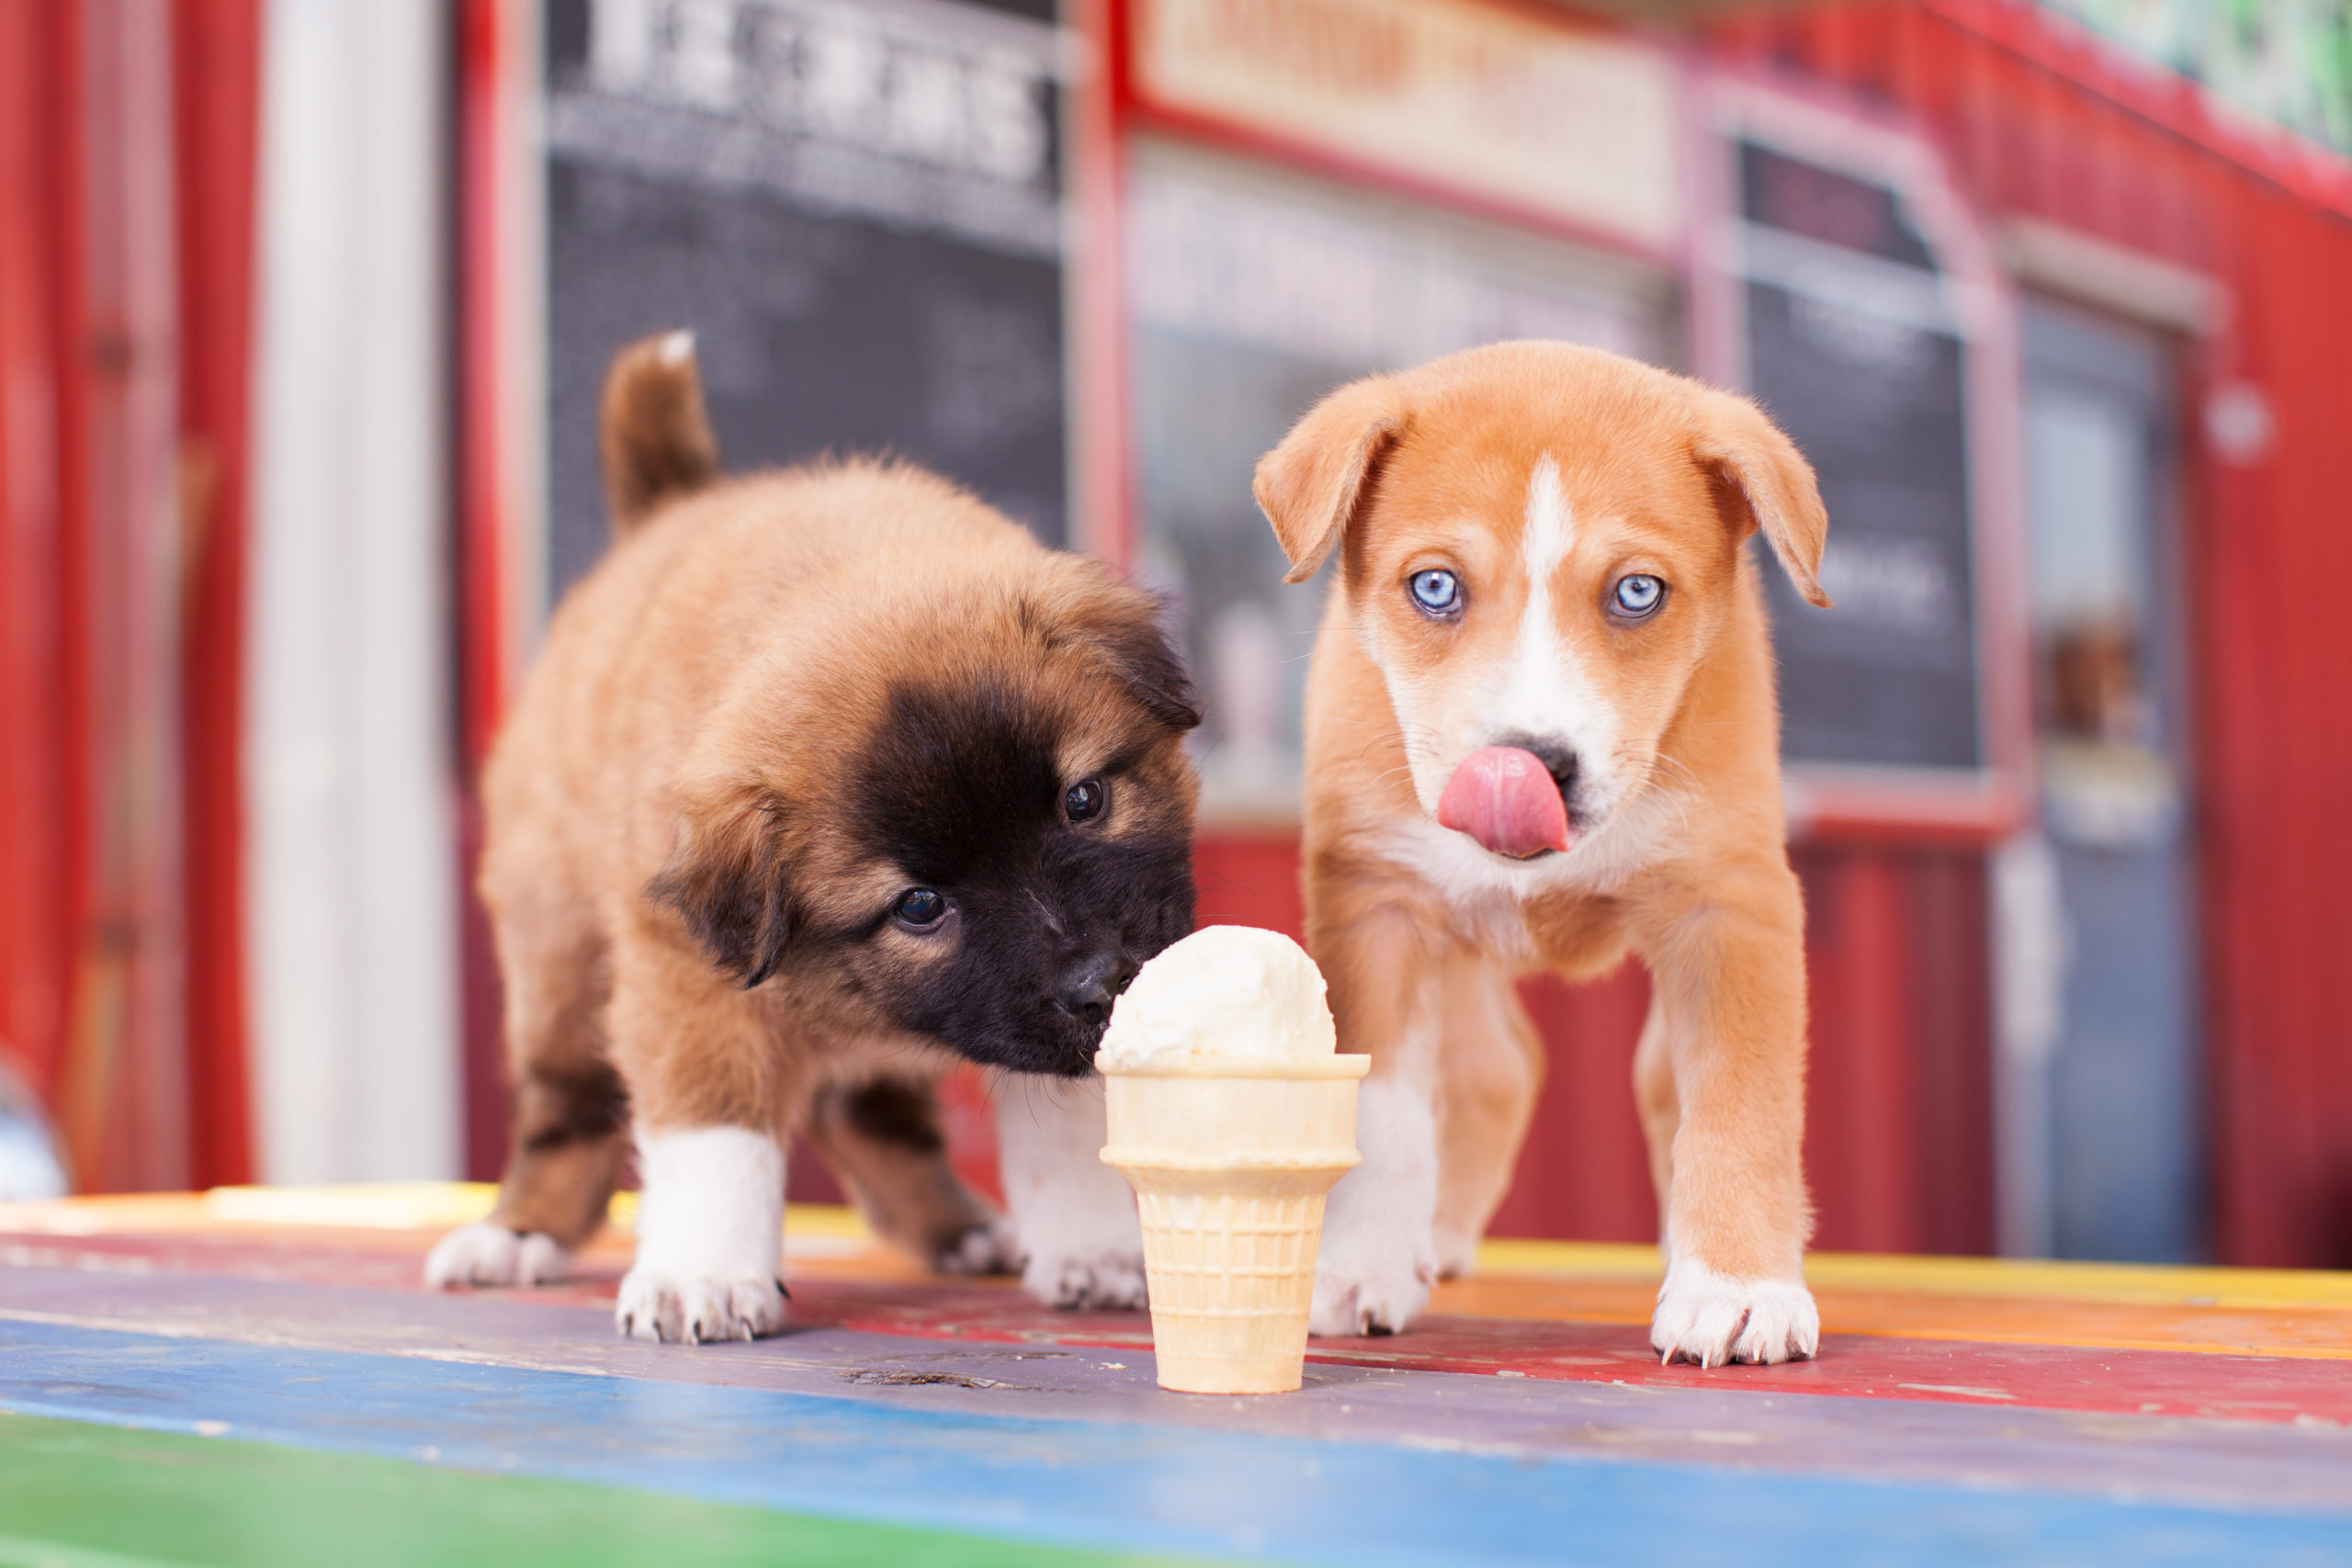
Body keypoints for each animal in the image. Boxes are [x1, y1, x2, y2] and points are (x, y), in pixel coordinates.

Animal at [427, 331, 1194, 1335]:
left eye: (1083, 800)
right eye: (919, 905)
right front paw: (703, 1273)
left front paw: (1092, 1244)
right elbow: (713, 1127)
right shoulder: (687, 980)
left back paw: (960, 1229)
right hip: (556, 963)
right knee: (569, 1116)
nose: (1102, 981)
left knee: (869, 1113)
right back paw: (515, 1235)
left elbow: (1067, 1120)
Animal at [1261, 341, 1825, 1363]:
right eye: (1433, 587)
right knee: (1493, 1070)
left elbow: (1736, 1100)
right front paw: (1358, 1263)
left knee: (1639, 1083)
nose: (1529, 764)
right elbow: (1381, 1106)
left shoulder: (1730, 905)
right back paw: (1431, 1239)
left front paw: (1736, 1284)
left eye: (1636, 592)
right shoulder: (1376, 902)